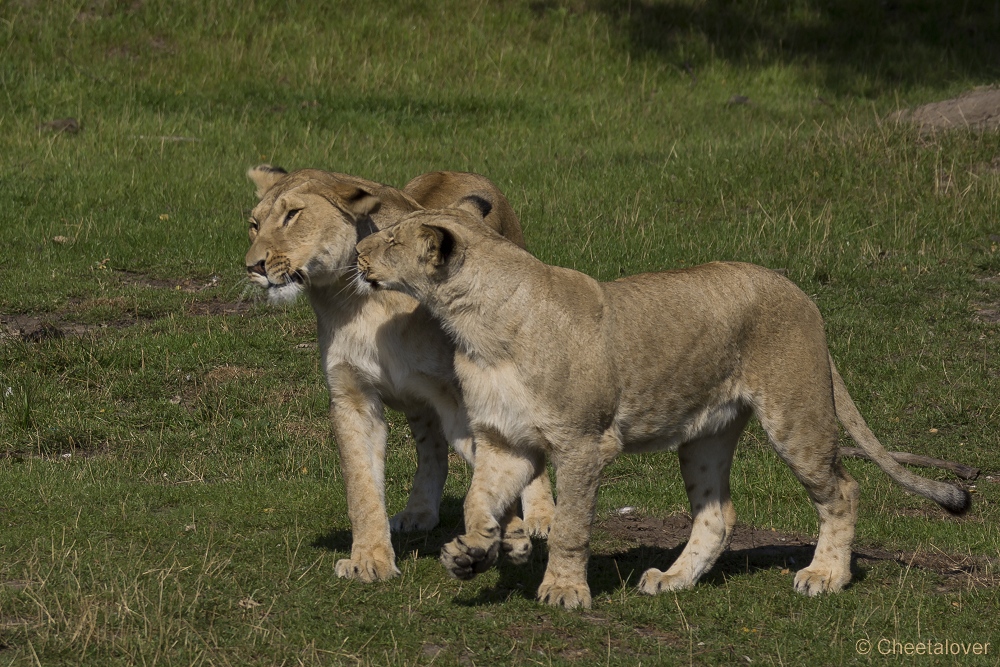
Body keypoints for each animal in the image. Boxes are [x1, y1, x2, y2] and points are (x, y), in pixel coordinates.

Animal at [244, 167, 556, 584]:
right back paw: (419, 511)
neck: (354, 299)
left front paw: (500, 537)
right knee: (432, 449)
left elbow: (495, 470)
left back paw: (542, 515)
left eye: (293, 215)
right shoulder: (353, 397)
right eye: (254, 225)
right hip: (420, 404)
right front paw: (370, 559)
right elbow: (361, 486)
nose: (254, 267)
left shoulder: (467, 396)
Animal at [356, 210, 972, 612]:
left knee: (842, 489)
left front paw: (564, 590)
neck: (476, 327)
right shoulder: (506, 440)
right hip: (705, 437)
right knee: (717, 514)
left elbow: (572, 524)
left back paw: (825, 576)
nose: (359, 255)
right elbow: (479, 501)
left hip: (796, 414)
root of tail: (799, 293)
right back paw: (674, 580)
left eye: (390, 238)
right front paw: (472, 553)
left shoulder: (584, 442)